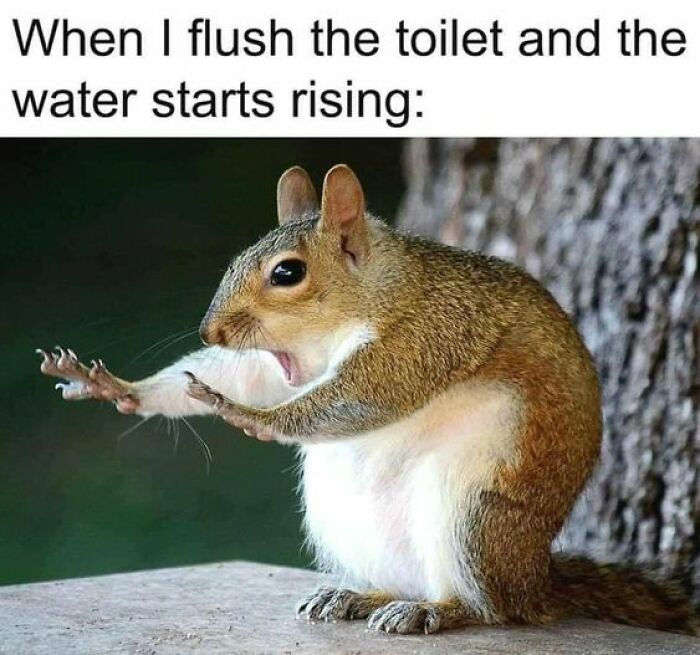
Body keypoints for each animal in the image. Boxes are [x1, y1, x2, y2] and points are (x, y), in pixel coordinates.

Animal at [38, 164, 697, 636]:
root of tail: (537, 582)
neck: (375, 293)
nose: (212, 332)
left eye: (287, 273)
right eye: (237, 259)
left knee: (494, 609)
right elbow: (245, 375)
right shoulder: (283, 363)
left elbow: (365, 396)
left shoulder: (429, 334)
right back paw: (357, 596)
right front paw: (119, 388)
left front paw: (252, 417)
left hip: (474, 517)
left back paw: (440, 611)